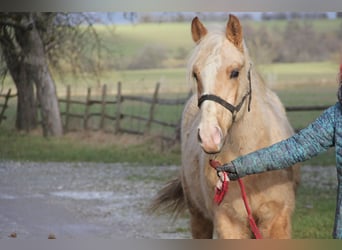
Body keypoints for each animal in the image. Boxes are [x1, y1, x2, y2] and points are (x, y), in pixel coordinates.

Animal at [152, 14, 300, 239]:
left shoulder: (277, 221)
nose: (209, 137)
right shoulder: (229, 222)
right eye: (195, 74)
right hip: (198, 217)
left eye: (235, 72)